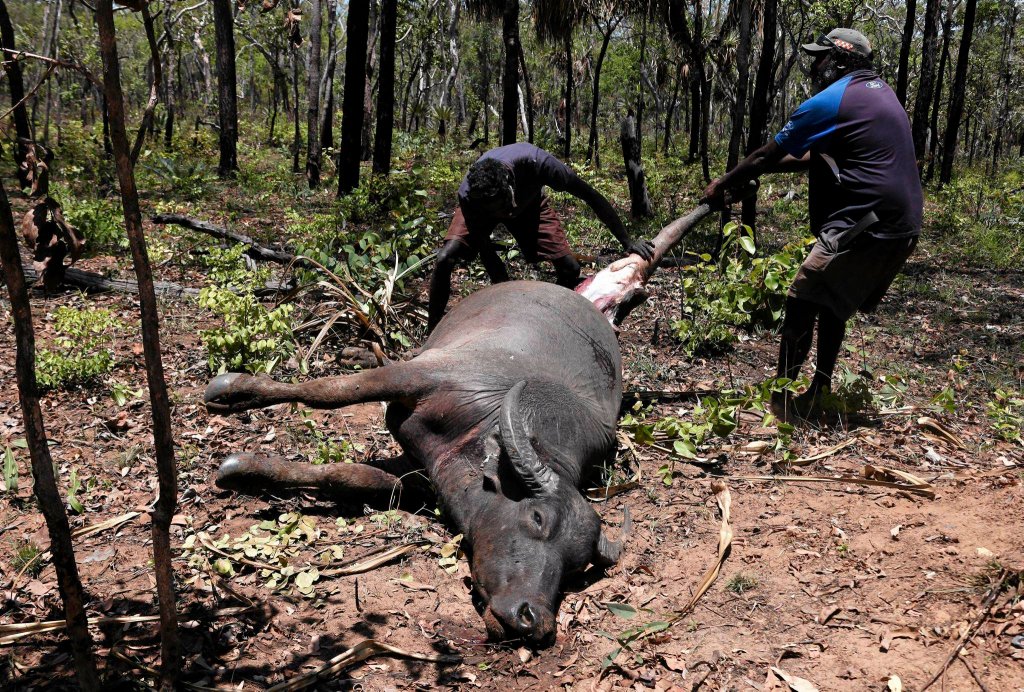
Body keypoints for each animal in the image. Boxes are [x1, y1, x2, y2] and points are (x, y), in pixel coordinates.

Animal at [203, 280, 626, 642]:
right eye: (537, 518)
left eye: (574, 566)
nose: (533, 619)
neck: (487, 424)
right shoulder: (419, 374)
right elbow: (329, 390)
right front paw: (236, 391)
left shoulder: (429, 475)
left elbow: (351, 476)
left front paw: (248, 472)